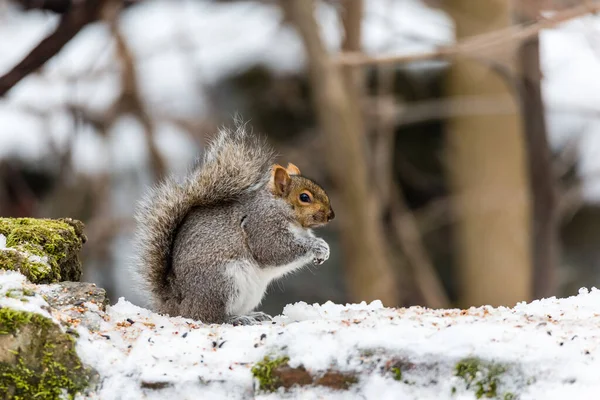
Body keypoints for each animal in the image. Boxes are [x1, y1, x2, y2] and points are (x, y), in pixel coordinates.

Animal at [132, 122, 336, 324]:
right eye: (304, 197)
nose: (331, 216)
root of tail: (176, 305)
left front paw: (325, 249)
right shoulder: (262, 224)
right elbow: (273, 249)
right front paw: (316, 247)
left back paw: (253, 315)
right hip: (222, 282)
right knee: (208, 316)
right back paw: (235, 319)